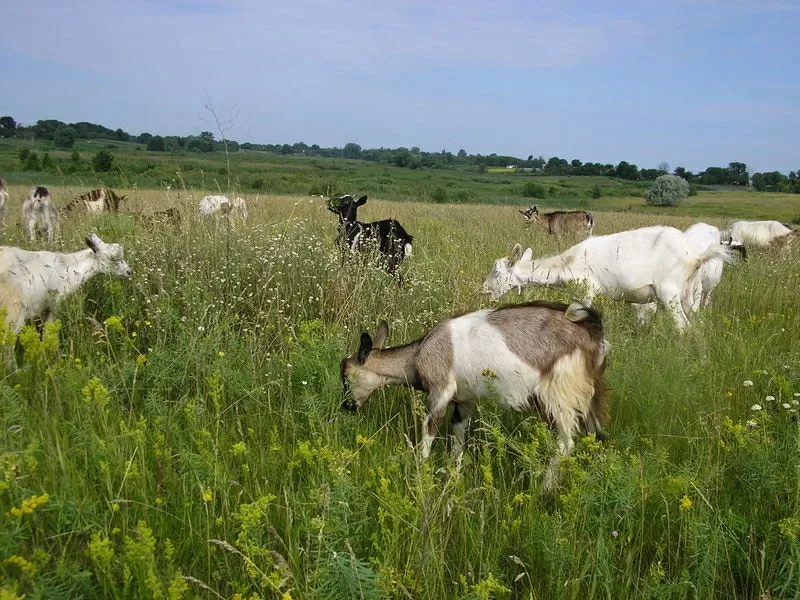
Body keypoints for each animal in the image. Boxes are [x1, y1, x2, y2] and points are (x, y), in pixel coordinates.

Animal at [338, 302, 608, 490]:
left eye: (345, 374)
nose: (347, 406)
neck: (417, 356)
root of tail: (594, 334)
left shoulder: (441, 390)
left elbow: (429, 431)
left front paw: (420, 474)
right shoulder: (463, 401)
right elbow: (458, 439)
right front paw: (454, 479)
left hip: (559, 394)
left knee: (566, 443)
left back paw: (545, 490)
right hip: (589, 396)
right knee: (597, 436)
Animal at [482, 225, 732, 330]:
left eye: (496, 271)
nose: (483, 290)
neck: (566, 264)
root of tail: (695, 256)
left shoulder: (585, 290)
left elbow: (572, 315)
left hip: (669, 292)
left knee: (683, 327)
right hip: (690, 292)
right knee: (697, 325)